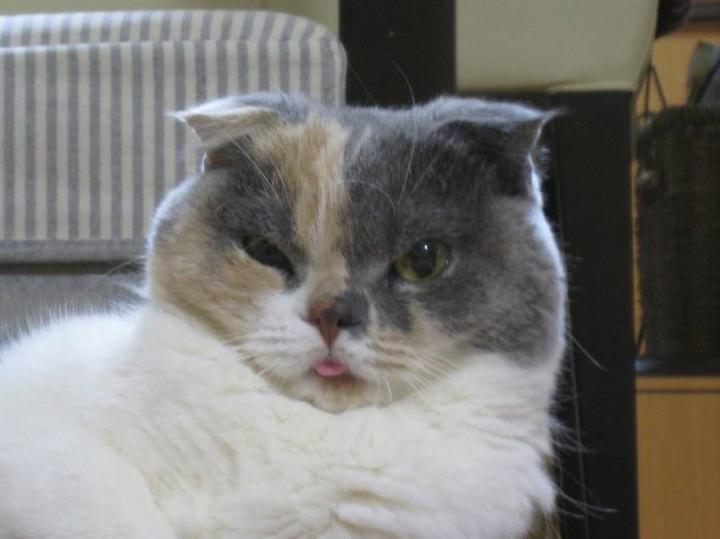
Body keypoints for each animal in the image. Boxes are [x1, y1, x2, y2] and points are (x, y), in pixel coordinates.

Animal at [0, 93, 566, 539]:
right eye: (265, 251)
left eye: (422, 260)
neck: (323, 439)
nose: (330, 314)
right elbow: (112, 512)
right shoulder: (40, 445)